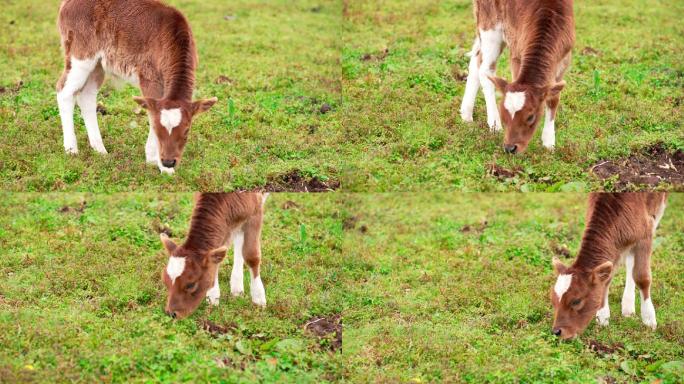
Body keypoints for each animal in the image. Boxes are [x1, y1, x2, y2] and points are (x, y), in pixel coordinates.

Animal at [56, 0, 216, 174]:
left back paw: (100, 149)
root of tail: (67, 3)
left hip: (98, 64)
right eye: (158, 129)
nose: (168, 162)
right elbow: (152, 112)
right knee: (64, 91)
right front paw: (159, 165)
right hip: (81, 53)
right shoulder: (148, 77)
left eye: (187, 130)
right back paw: (71, 149)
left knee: (87, 96)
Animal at [460, 0, 576, 153]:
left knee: (476, 59)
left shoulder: (564, 58)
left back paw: (466, 114)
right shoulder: (516, 51)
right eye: (504, 113)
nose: (510, 148)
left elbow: (553, 98)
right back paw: (494, 124)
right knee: (485, 70)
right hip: (490, 24)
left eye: (531, 117)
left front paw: (549, 144)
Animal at [552, 192, 668, 340]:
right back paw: (628, 306)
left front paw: (648, 319)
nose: (556, 332)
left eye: (576, 301)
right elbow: (607, 277)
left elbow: (642, 278)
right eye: (554, 300)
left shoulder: (646, 232)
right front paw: (602, 316)